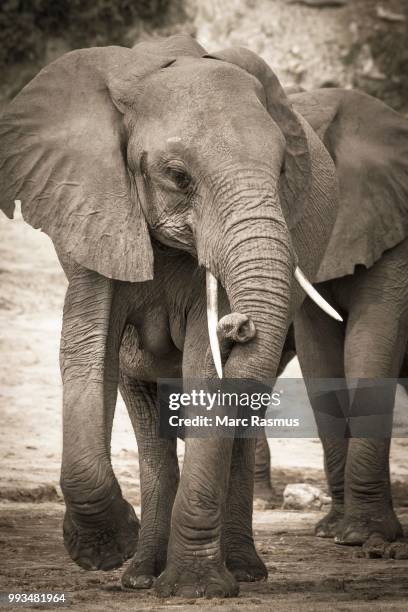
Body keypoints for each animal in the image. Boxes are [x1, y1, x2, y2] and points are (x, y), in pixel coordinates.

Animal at [0, 34, 408, 596]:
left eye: (284, 171)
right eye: (177, 176)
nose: (238, 325)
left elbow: (203, 366)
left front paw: (195, 589)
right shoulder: (95, 215)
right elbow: (87, 349)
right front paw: (108, 551)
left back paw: (244, 571)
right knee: (149, 424)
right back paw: (139, 575)